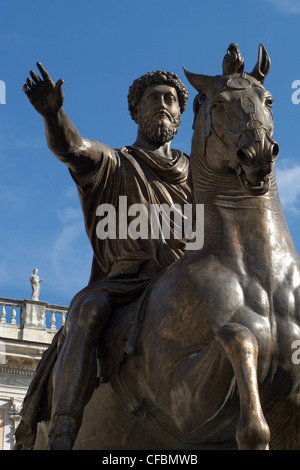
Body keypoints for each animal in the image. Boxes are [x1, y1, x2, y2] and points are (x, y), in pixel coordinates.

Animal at [32, 45, 300, 452]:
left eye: (267, 99)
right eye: (218, 104)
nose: (257, 155)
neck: (258, 272)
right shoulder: (181, 405)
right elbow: (237, 337)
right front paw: (49, 102)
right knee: (87, 313)